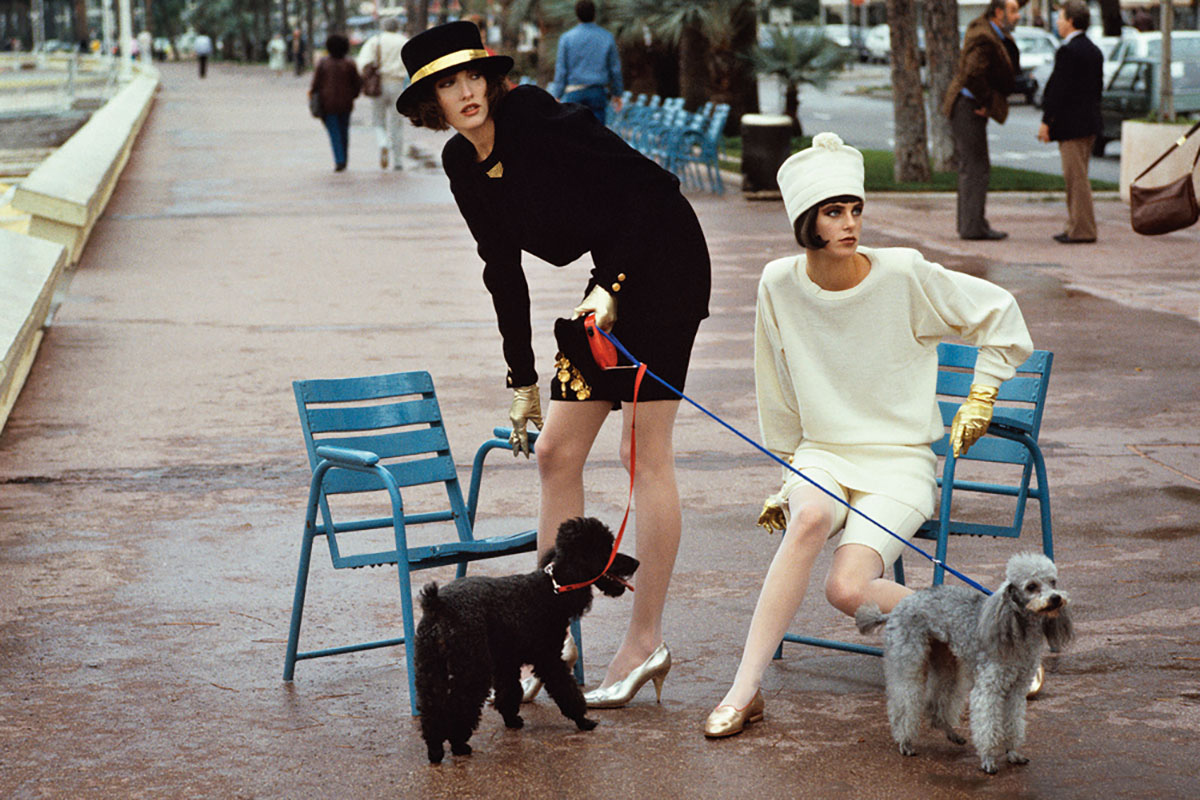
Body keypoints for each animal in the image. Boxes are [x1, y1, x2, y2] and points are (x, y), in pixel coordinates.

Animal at [413, 516, 638, 764]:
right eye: (606, 548)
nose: (636, 563)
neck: (552, 589)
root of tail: (438, 606)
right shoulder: (548, 659)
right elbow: (566, 690)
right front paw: (583, 721)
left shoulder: (506, 662)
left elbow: (509, 692)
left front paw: (512, 720)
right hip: (471, 668)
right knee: (460, 706)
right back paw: (459, 744)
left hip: (431, 669)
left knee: (432, 709)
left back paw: (435, 750)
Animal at [855, 552, 1073, 774]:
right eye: (1031, 586)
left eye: (1053, 582)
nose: (1055, 598)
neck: (1016, 629)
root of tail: (895, 610)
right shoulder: (989, 688)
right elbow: (987, 725)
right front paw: (988, 759)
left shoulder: (1017, 689)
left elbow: (1013, 722)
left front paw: (1012, 753)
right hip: (908, 663)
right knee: (904, 703)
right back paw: (905, 741)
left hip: (946, 664)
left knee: (936, 706)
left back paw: (952, 733)